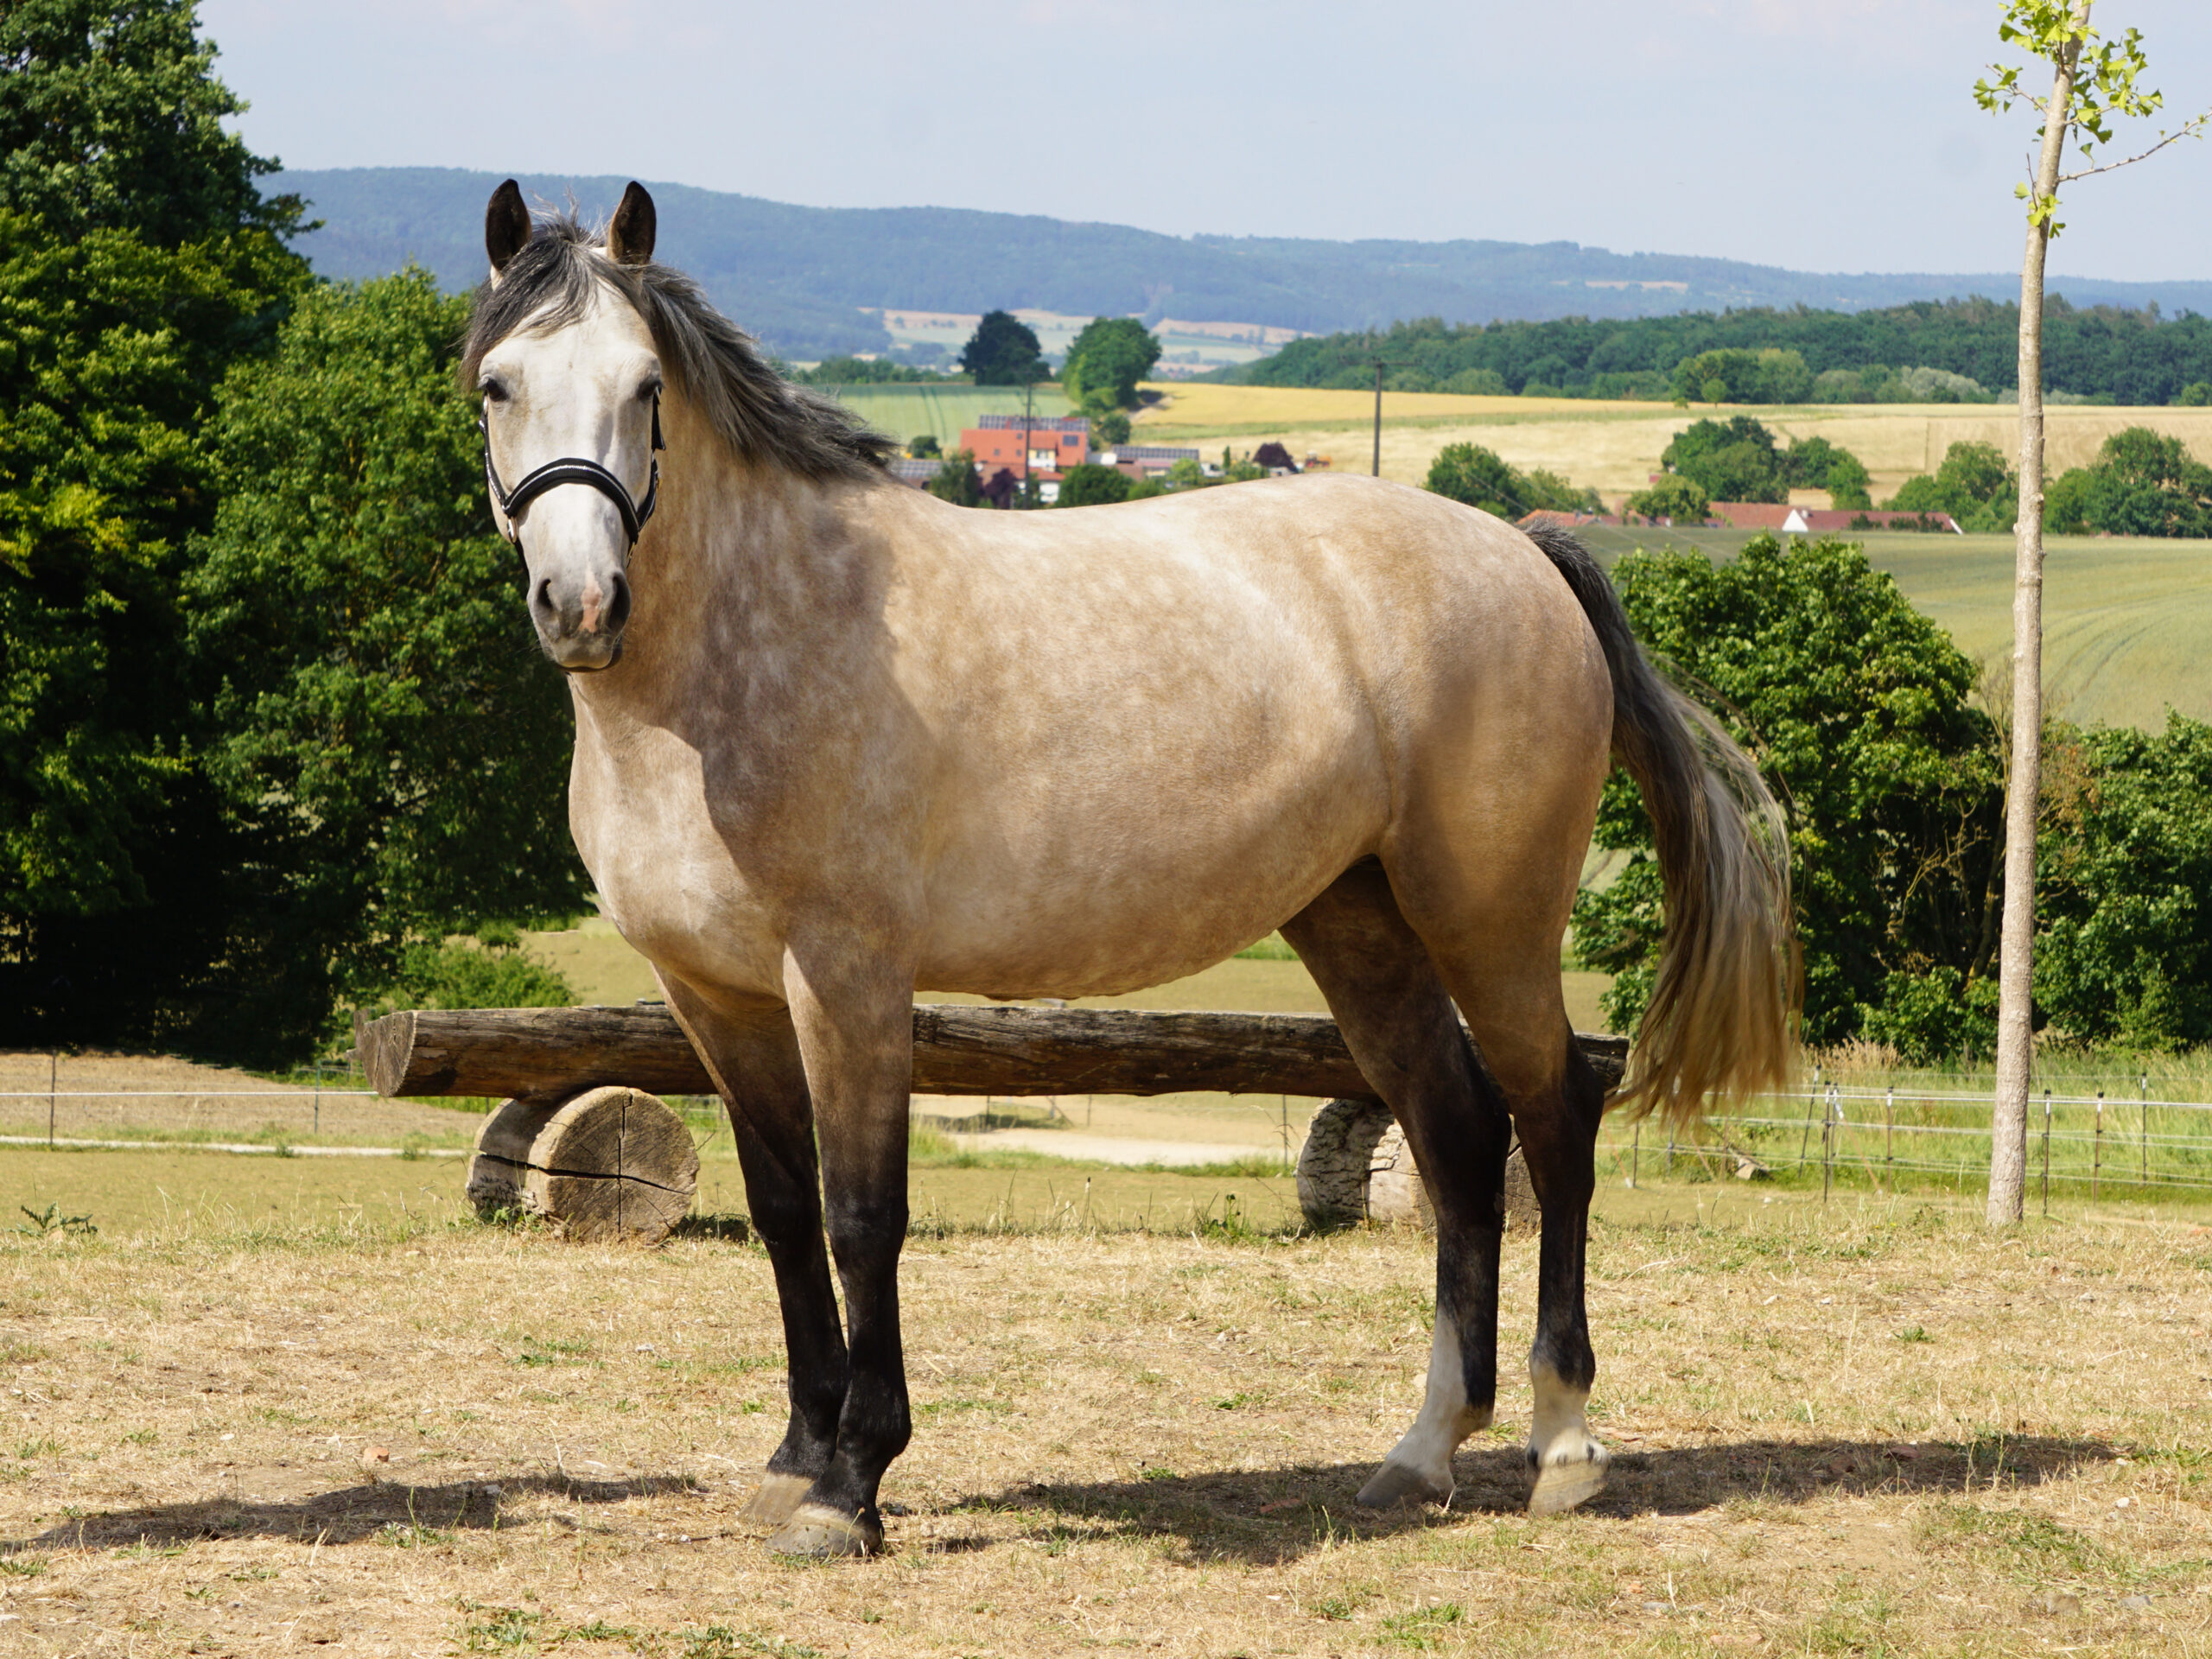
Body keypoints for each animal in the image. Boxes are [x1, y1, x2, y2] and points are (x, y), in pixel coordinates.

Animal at [462, 178, 1794, 1558]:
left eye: (645, 388)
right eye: (496, 383)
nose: (580, 604)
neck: (741, 663)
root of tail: (1529, 552)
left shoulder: (849, 980)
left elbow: (861, 1216)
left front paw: (851, 1483)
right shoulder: (712, 996)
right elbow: (782, 1216)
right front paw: (795, 1460)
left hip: (1493, 921)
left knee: (1556, 1120)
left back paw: (1564, 1446)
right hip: (1358, 925)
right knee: (1459, 1137)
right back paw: (1423, 1453)